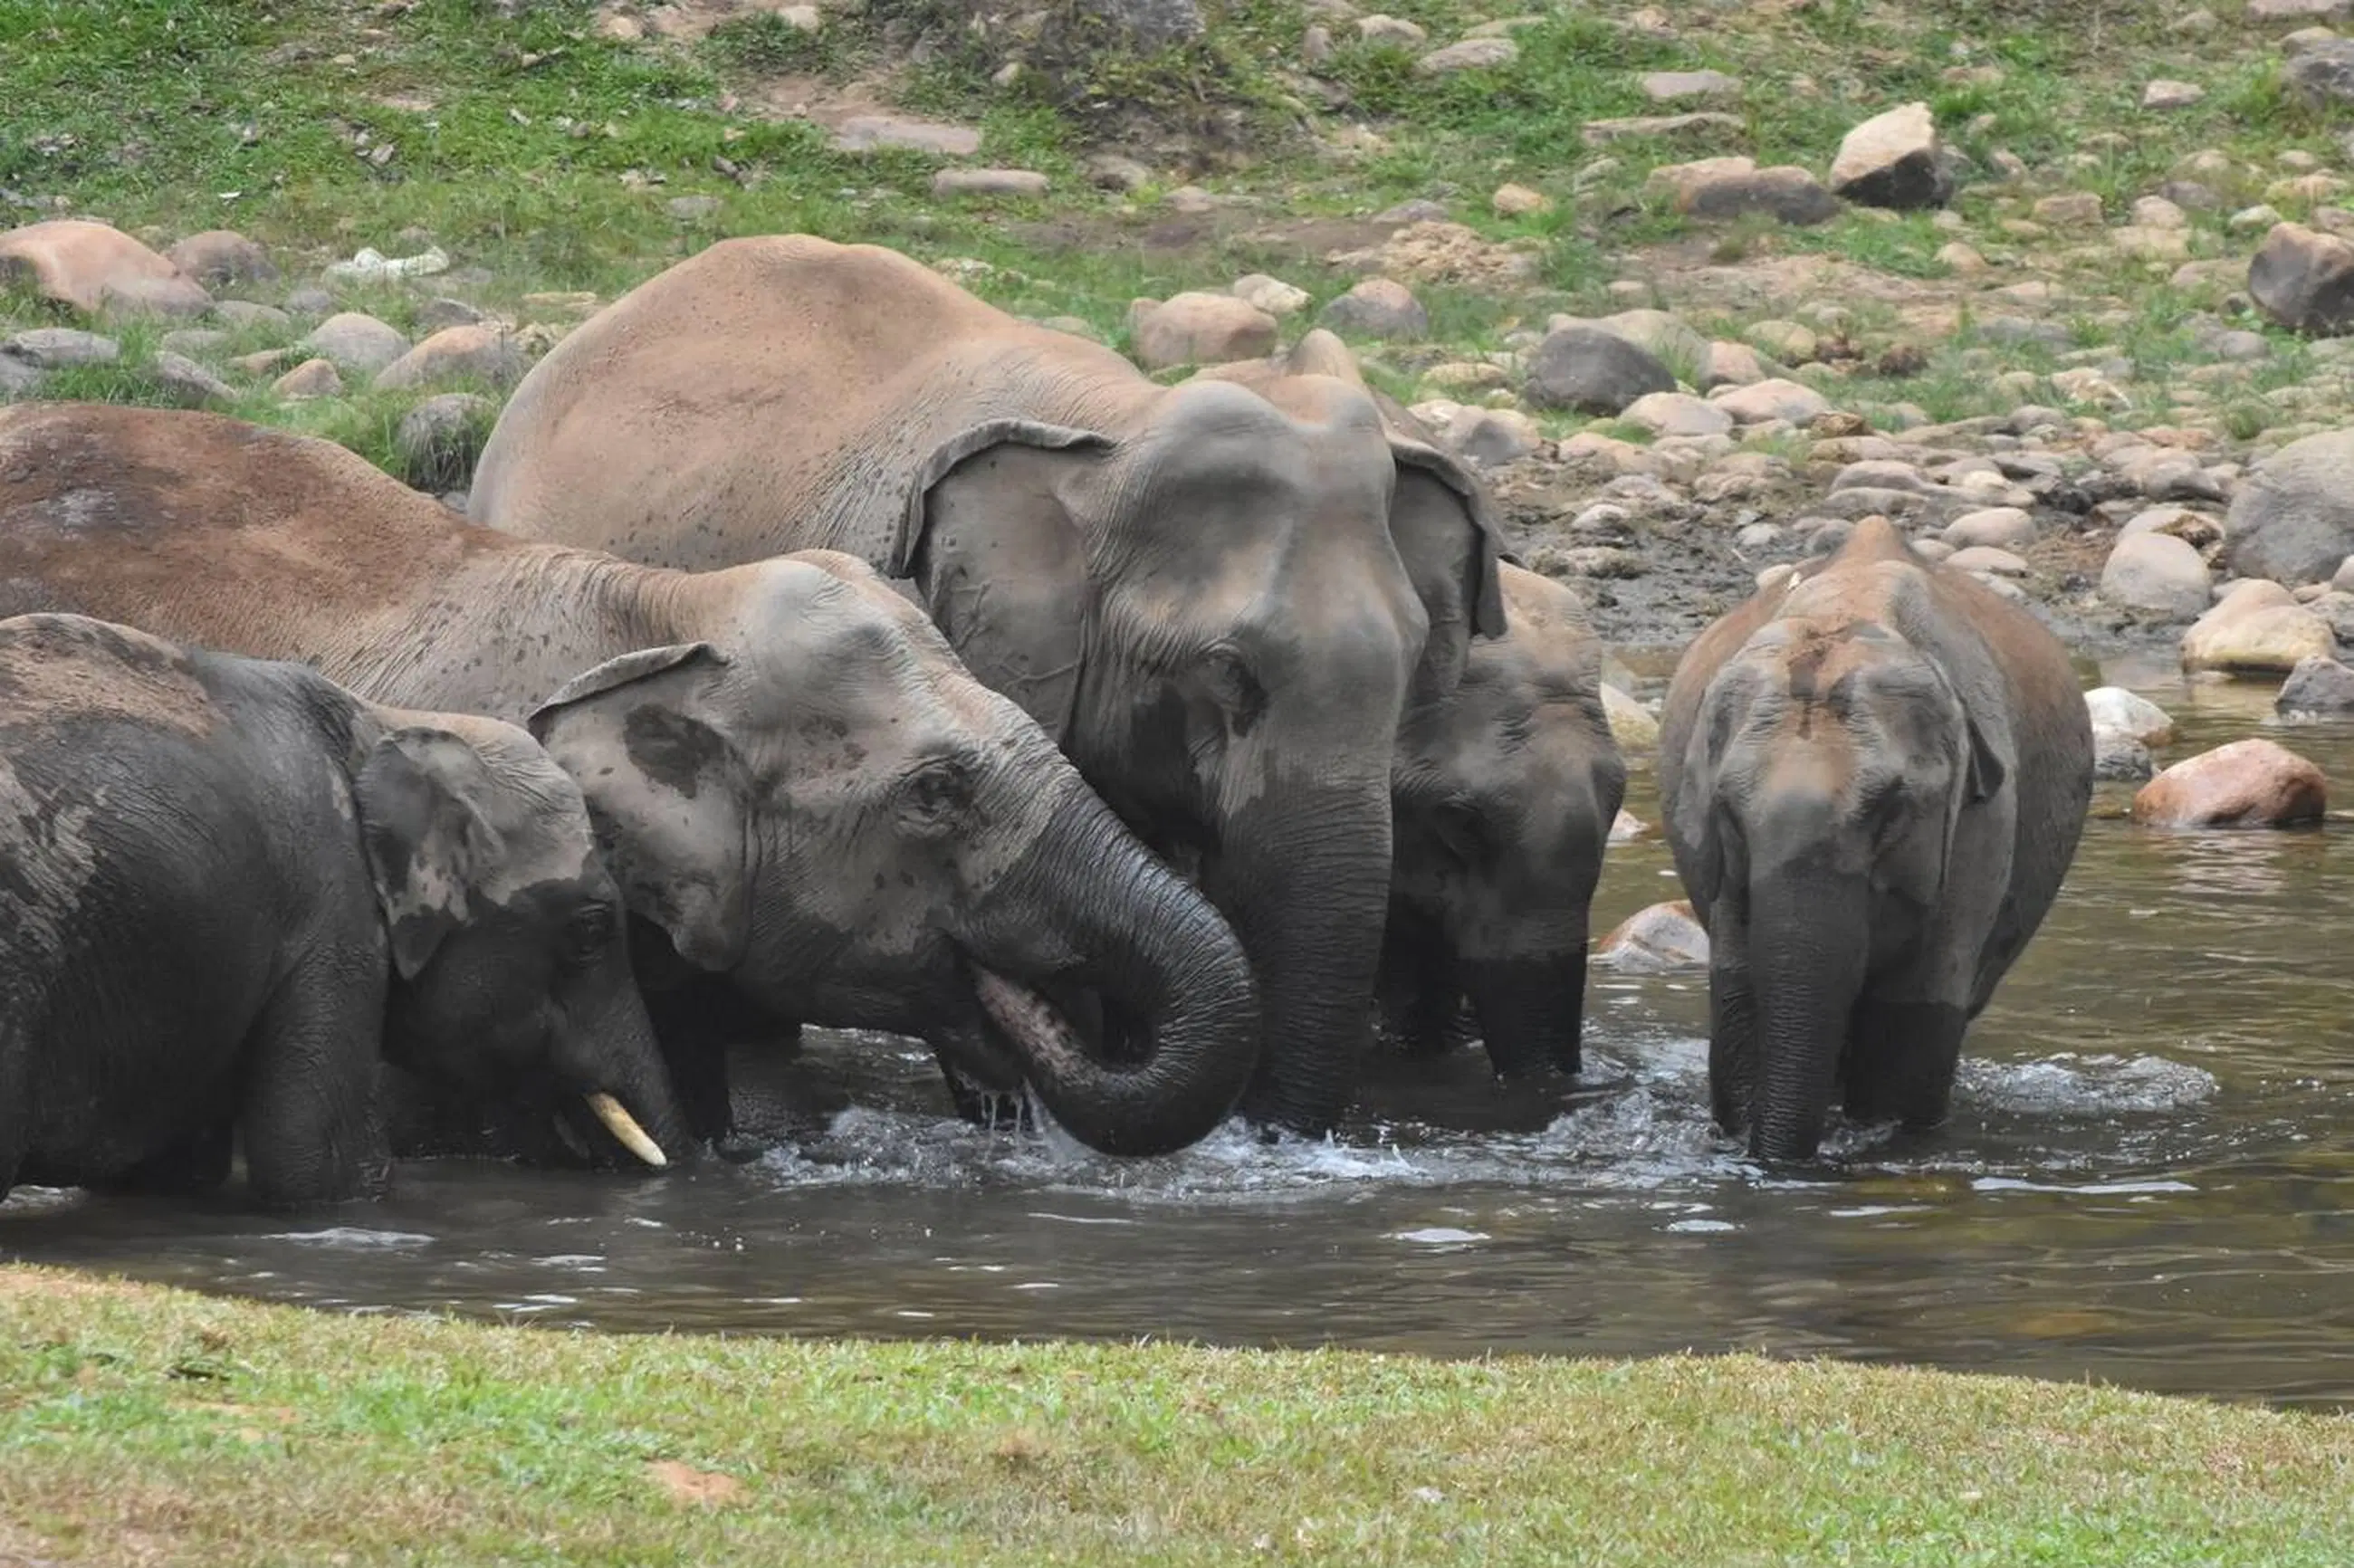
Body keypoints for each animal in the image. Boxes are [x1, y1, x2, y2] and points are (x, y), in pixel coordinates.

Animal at [1657, 517, 2093, 1163]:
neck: (1849, 612)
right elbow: (1741, 1000)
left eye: (1891, 810)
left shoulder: (1984, 822)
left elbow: (1911, 1029)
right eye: (1730, 815)